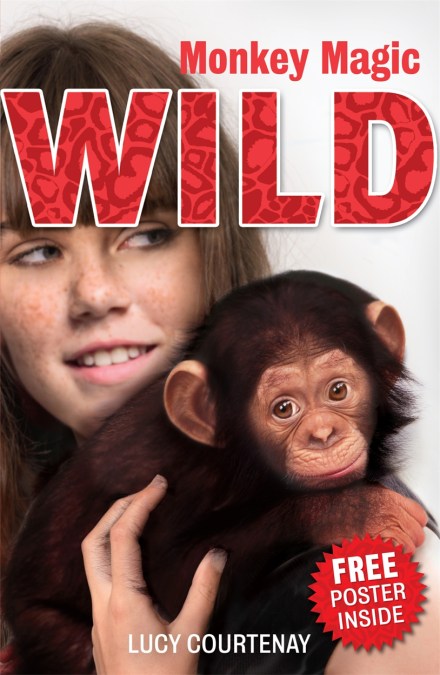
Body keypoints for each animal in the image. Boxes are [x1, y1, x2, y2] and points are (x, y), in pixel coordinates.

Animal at [3, 270, 428, 674]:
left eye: (338, 391)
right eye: (284, 409)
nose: (322, 434)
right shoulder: (172, 477)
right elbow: (173, 577)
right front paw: (356, 511)